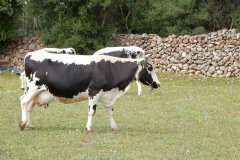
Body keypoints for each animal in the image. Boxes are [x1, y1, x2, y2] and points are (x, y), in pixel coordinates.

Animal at [19, 51, 160, 131]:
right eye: (150, 68)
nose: (158, 84)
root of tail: (29, 55)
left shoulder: (107, 95)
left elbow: (111, 112)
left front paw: (114, 127)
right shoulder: (94, 91)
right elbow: (92, 112)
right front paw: (89, 127)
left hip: (38, 92)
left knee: (29, 106)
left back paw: (30, 125)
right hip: (33, 87)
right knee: (24, 102)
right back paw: (23, 124)